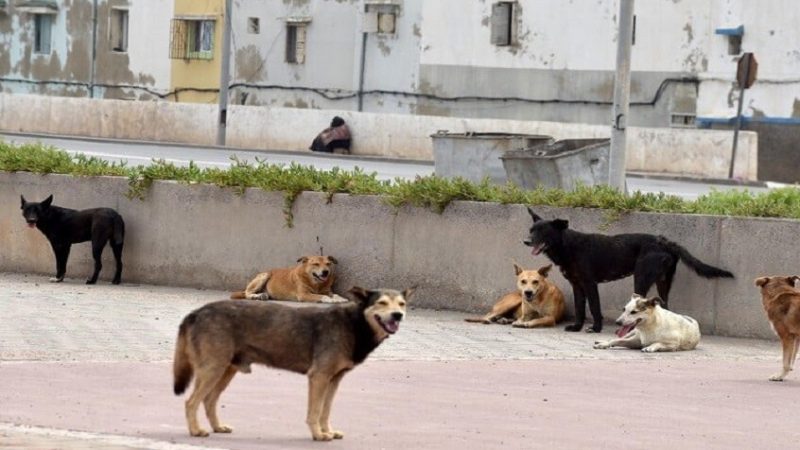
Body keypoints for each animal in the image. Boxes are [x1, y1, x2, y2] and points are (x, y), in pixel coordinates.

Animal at [520, 209, 736, 332]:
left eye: (543, 231)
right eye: (531, 230)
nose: (526, 241)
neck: (568, 245)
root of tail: (665, 242)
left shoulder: (590, 283)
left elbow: (594, 307)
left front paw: (596, 328)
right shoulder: (577, 285)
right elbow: (581, 308)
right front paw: (577, 327)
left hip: (641, 278)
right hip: (663, 282)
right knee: (664, 306)